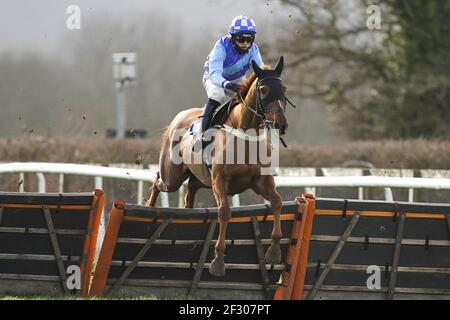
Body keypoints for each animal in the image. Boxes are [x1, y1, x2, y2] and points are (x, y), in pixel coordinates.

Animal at [148, 56, 288, 276]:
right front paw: (218, 262)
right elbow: (224, 212)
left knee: (190, 190)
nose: (280, 124)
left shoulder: (261, 180)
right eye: (264, 90)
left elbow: (277, 202)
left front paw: (273, 252)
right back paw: (149, 207)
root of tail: (178, 117)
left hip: (200, 179)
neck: (245, 134)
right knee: (157, 181)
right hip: (172, 177)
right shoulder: (219, 179)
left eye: (284, 88)